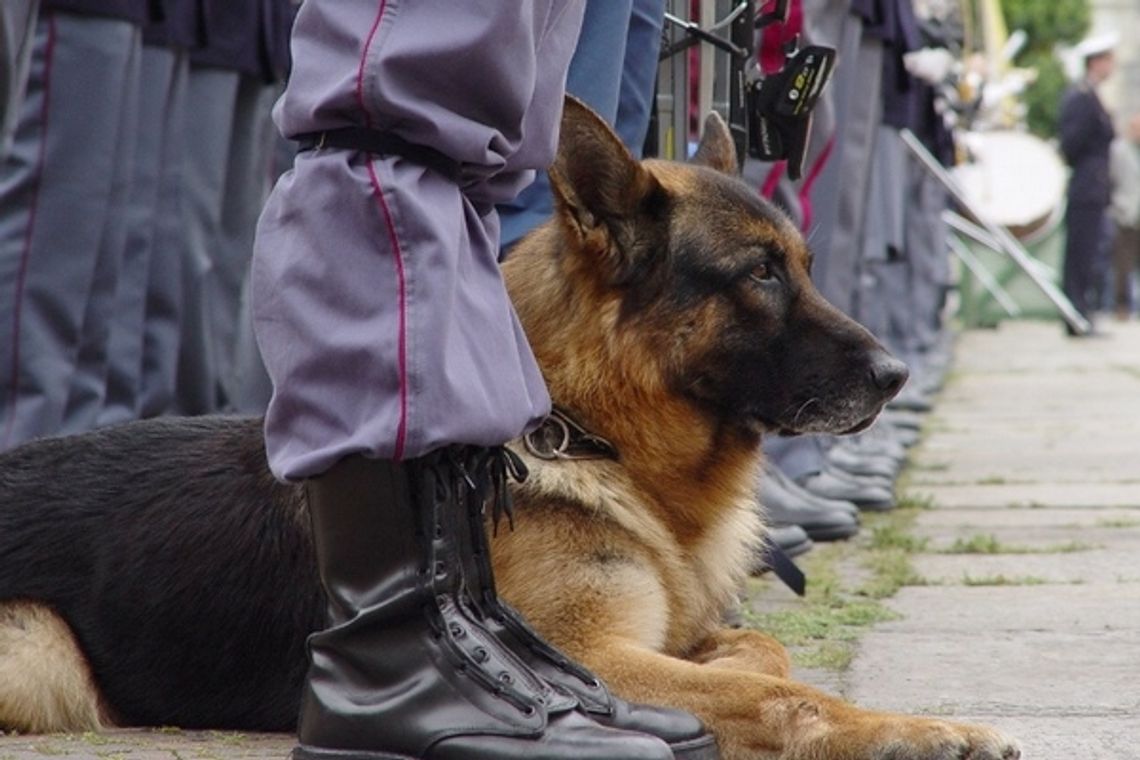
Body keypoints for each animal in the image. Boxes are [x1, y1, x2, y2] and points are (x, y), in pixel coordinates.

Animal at [0, 100, 1016, 760]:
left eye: (801, 264)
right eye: (759, 274)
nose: (896, 375)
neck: (588, 433)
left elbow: (759, 651)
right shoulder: (596, 659)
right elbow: (774, 686)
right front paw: (917, 731)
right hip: (41, 654)